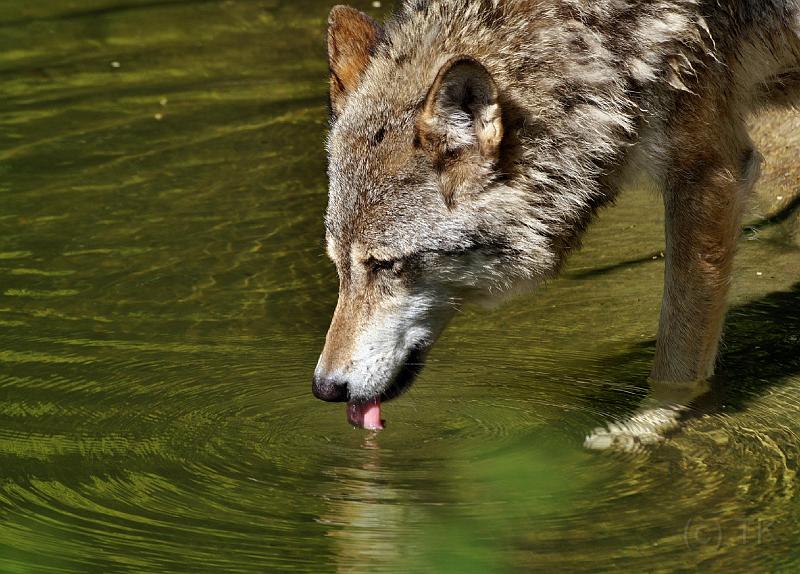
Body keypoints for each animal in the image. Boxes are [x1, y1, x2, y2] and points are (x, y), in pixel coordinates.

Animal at [312, 0, 800, 440]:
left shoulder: (709, 173)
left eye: (385, 265)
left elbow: (677, 349)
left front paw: (642, 426)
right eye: (338, 266)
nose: (324, 388)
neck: (593, 41)